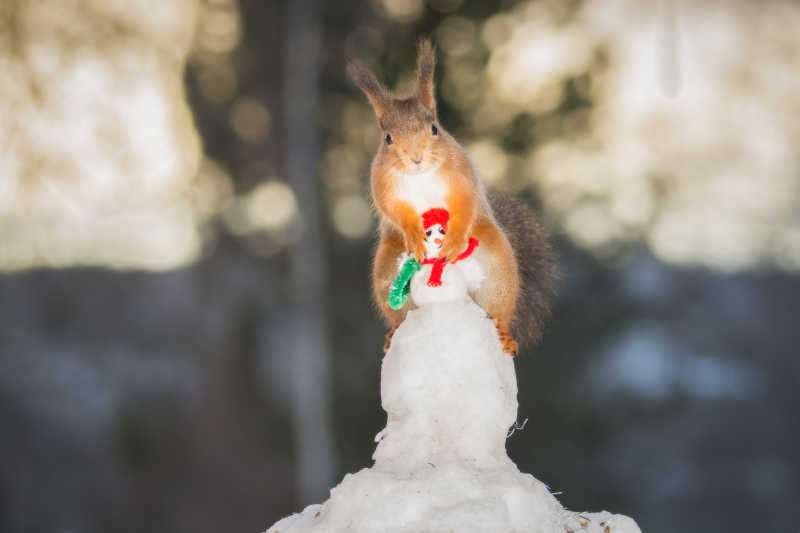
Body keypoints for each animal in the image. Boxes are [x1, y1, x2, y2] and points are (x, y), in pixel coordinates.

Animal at [346, 39, 560, 356]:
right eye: (388, 138)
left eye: (435, 128)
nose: (416, 158)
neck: (421, 176)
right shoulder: (384, 185)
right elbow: (394, 210)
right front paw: (413, 233)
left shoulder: (461, 176)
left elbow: (464, 204)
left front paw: (455, 238)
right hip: (388, 272)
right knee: (400, 310)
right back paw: (394, 332)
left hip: (497, 271)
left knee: (499, 308)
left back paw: (504, 333)